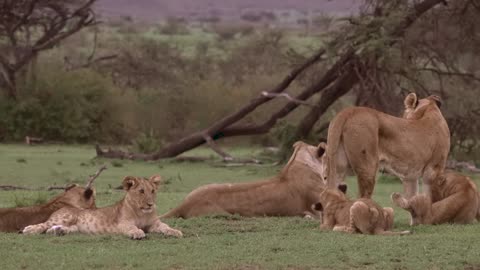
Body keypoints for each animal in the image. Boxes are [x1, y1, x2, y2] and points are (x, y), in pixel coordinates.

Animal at [20, 176, 183, 239]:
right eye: (141, 191)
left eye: (153, 191)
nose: (150, 204)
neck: (142, 213)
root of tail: (63, 207)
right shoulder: (123, 224)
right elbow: (132, 228)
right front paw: (137, 233)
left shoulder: (155, 224)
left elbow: (165, 226)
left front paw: (175, 231)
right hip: (65, 217)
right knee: (43, 224)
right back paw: (29, 230)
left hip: (74, 227)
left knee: (52, 229)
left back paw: (58, 232)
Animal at [324, 93, 452, 198]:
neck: (430, 109)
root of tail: (349, 111)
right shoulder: (434, 170)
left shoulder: (410, 176)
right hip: (368, 167)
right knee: (361, 198)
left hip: (337, 165)